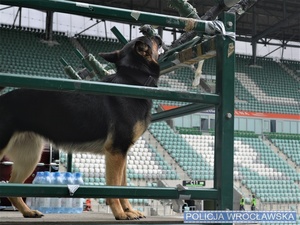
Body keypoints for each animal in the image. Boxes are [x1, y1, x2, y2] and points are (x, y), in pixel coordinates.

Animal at [0, 35, 162, 220]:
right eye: (151, 39)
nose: (157, 35)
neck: (132, 80)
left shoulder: (122, 153)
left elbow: (123, 186)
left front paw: (128, 210)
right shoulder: (116, 152)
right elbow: (114, 187)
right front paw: (121, 213)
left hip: (30, 156)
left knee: (12, 188)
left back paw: (28, 211)